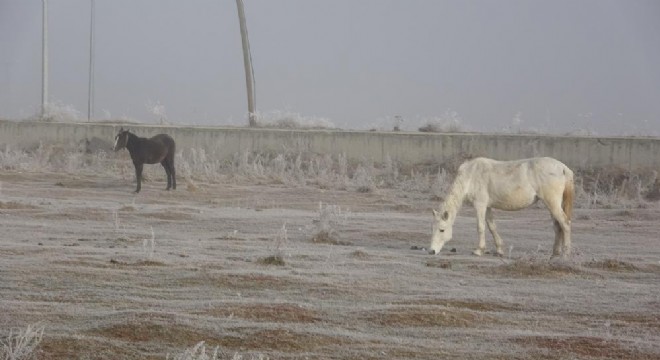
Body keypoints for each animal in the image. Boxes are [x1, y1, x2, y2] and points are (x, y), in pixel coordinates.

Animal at [430, 156, 576, 258]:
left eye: (442, 230)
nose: (432, 251)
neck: (471, 175)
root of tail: (563, 168)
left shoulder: (480, 205)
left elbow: (480, 227)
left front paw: (479, 250)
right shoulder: (488, 207)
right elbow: (492, 227)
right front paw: (499, 250)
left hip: (552, 203)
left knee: (565, 223)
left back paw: (566, 253)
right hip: (552, 205)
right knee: (557, 226)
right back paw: (555, 253)